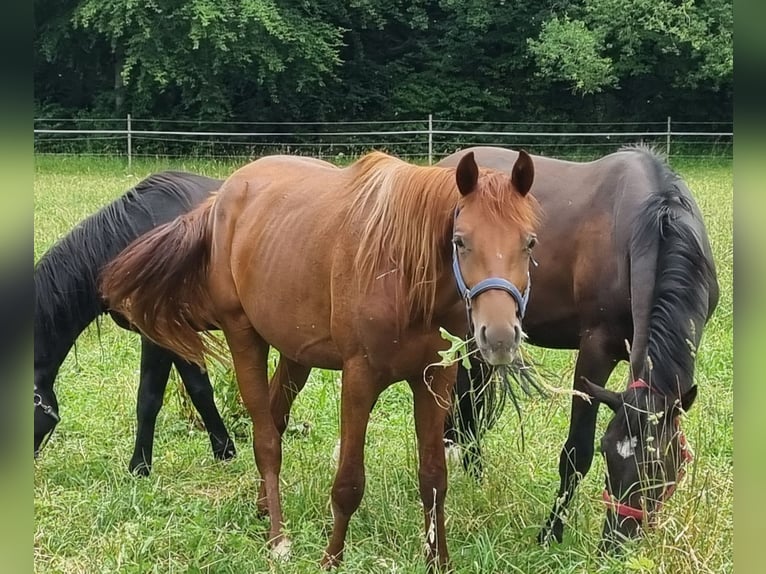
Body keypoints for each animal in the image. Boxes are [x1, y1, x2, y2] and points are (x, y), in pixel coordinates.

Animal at [33, 172, 237, 476]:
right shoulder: (179, 336)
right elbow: (200, 391)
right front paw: (225, 452)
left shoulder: (157, 336)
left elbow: (148, 399)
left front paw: (139, 467)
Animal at [100, 152, 540, 572]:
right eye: (461, 241)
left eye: (530, 243)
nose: (500, 336)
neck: (400, 273)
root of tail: (222, 196)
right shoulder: (359, 378)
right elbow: (348, 483)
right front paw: (331, 559)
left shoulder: (434, 379)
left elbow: (433, 478)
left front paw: (439, 561)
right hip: (244, 337)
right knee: (266, 439)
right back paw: (278, 539)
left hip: (296, 355)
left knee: (276, 417)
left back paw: (263, 508)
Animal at [438, 146, 720, 552]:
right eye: (607, 451)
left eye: (658, 465)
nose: (617, 543)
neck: (649, 223)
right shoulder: (595, 351)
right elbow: (575, 453)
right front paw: (550, 532)